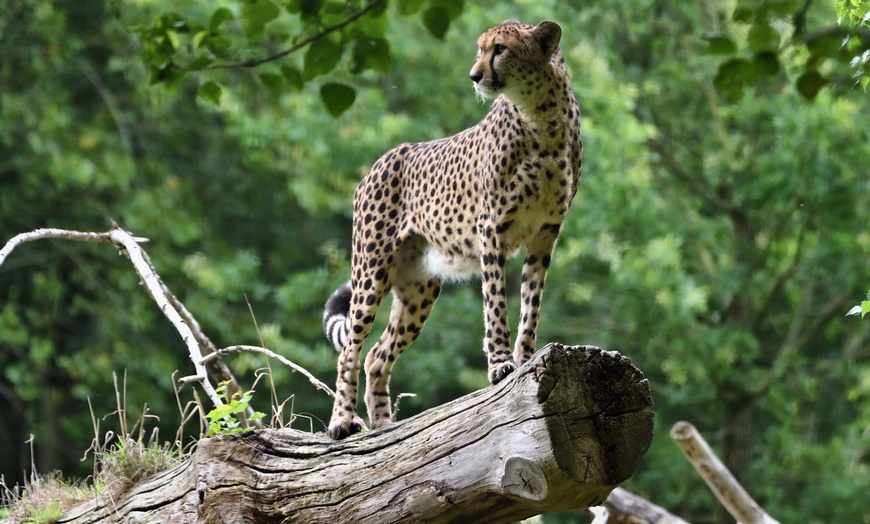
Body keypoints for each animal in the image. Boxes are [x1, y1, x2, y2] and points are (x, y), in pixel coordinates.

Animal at [324, 19, 584, 438]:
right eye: (481, 49)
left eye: (500, 49)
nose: (475, 75)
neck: (541, 118)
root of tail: (383, 159)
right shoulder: (491, 228)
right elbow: (496, 302)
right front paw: (501, 364)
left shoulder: (546, 233)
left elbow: (531, 303)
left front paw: (527, 357)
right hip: (371, 271)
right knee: (350, 350)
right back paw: (343, 421)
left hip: (419, 289)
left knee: (377, 355)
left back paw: (384, 427)